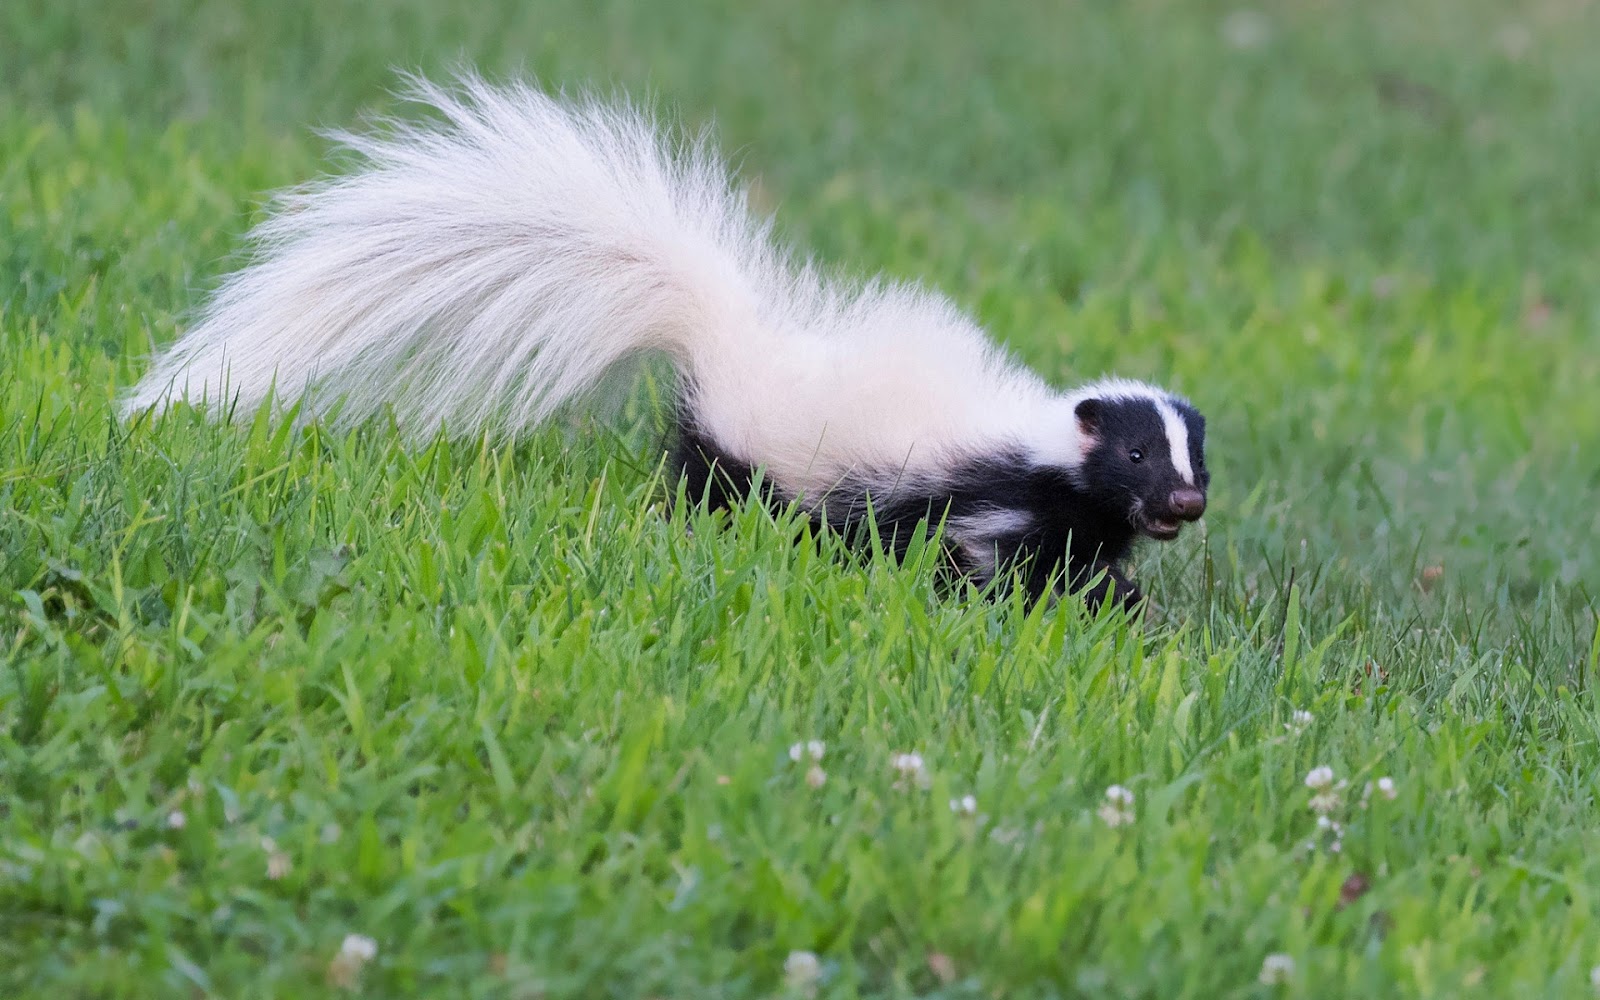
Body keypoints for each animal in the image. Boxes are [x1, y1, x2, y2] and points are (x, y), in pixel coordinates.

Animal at [124, 74, 1203, 604]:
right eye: (1137, 456)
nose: (1185, 503)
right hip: (733, 456)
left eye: (1195, 460)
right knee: (711, 494)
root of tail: (725, 331)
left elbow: (1077, 567)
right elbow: (982, 563)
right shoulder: (981, 497)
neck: (1044, 446)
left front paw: (1117, 603)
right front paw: (1071, 611)